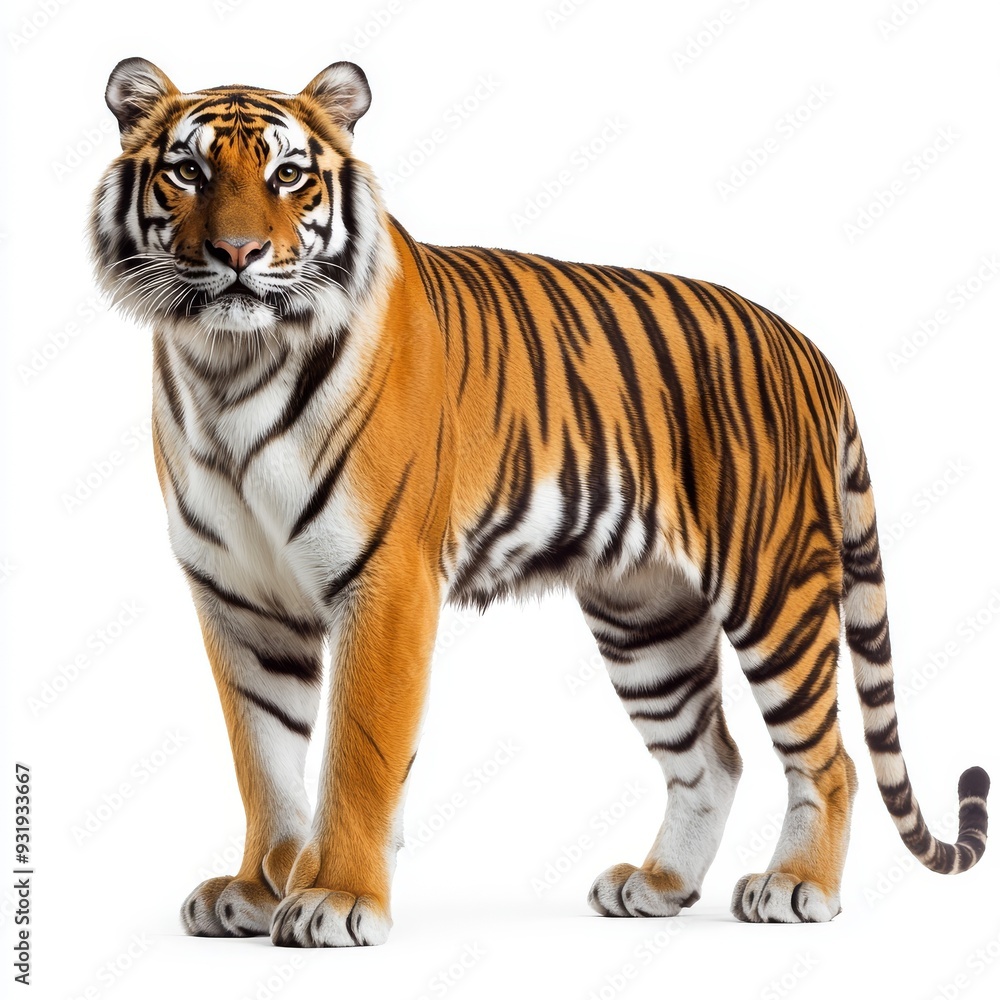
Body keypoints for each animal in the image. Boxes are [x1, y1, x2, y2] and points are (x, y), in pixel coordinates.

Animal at [89, 57, 989, 947]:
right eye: (189, 172)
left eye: (287, 175)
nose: (239, 252)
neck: (230, 365)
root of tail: (807, 347)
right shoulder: (240, 599)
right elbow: (263, 759)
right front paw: (254, 888)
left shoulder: (386, 580)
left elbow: (359, 754)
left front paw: (336, 897)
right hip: (646, 618)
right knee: (712, 758)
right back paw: (657, 885)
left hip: (774, 590)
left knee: (829, 759)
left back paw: (798, 885)